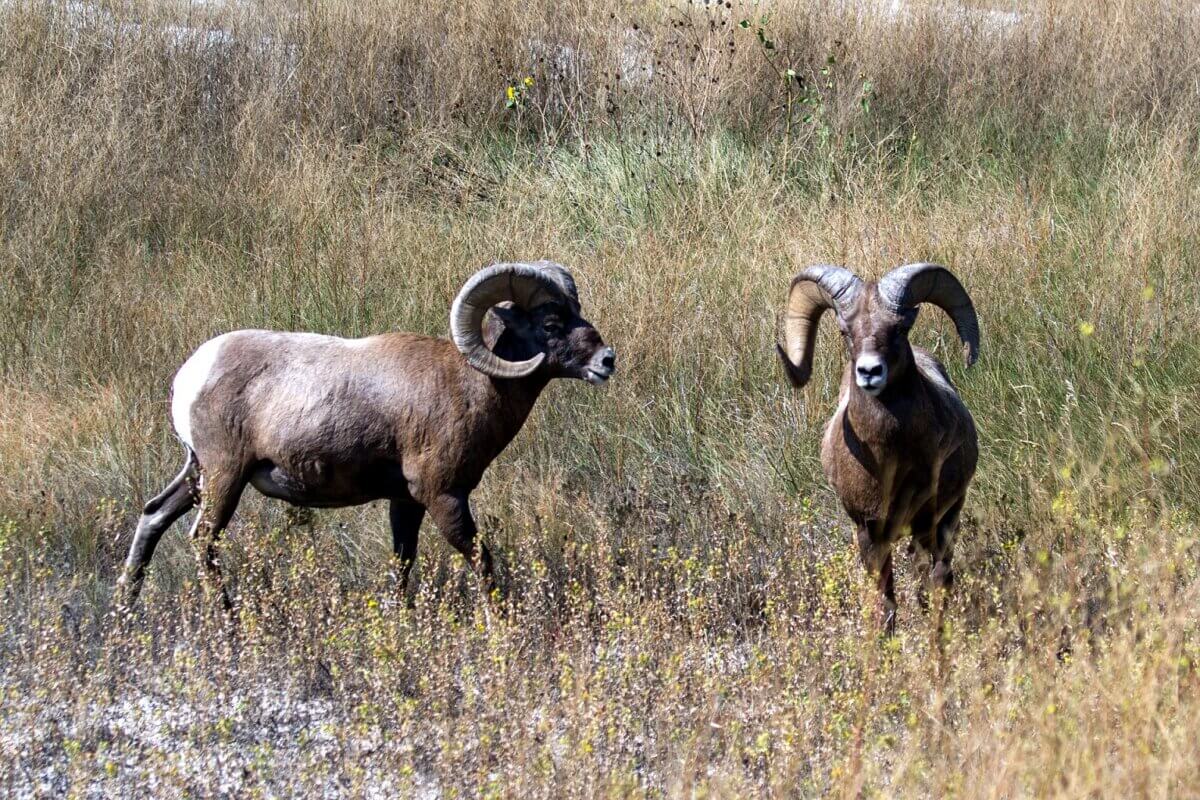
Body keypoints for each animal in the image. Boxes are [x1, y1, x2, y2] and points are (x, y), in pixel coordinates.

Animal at [117, 260, 614, 609]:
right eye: (550, 324)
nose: (607, 360)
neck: (470, 383)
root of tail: (191, 374)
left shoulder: (406, 502)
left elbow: (402, 565)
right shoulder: (443, 496)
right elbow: (481, 561)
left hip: (198, 475)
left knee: (153, 516)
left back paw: (126, 606)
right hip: (225, 478)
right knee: (203, 541)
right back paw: (228, 619)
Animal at [777, 262, 984, 633]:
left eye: (899, 329)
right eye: (845, 332)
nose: (870, 371)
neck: (891, 462)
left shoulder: (932, 520)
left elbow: (934, 584)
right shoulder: (869, 532)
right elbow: (885, 601)